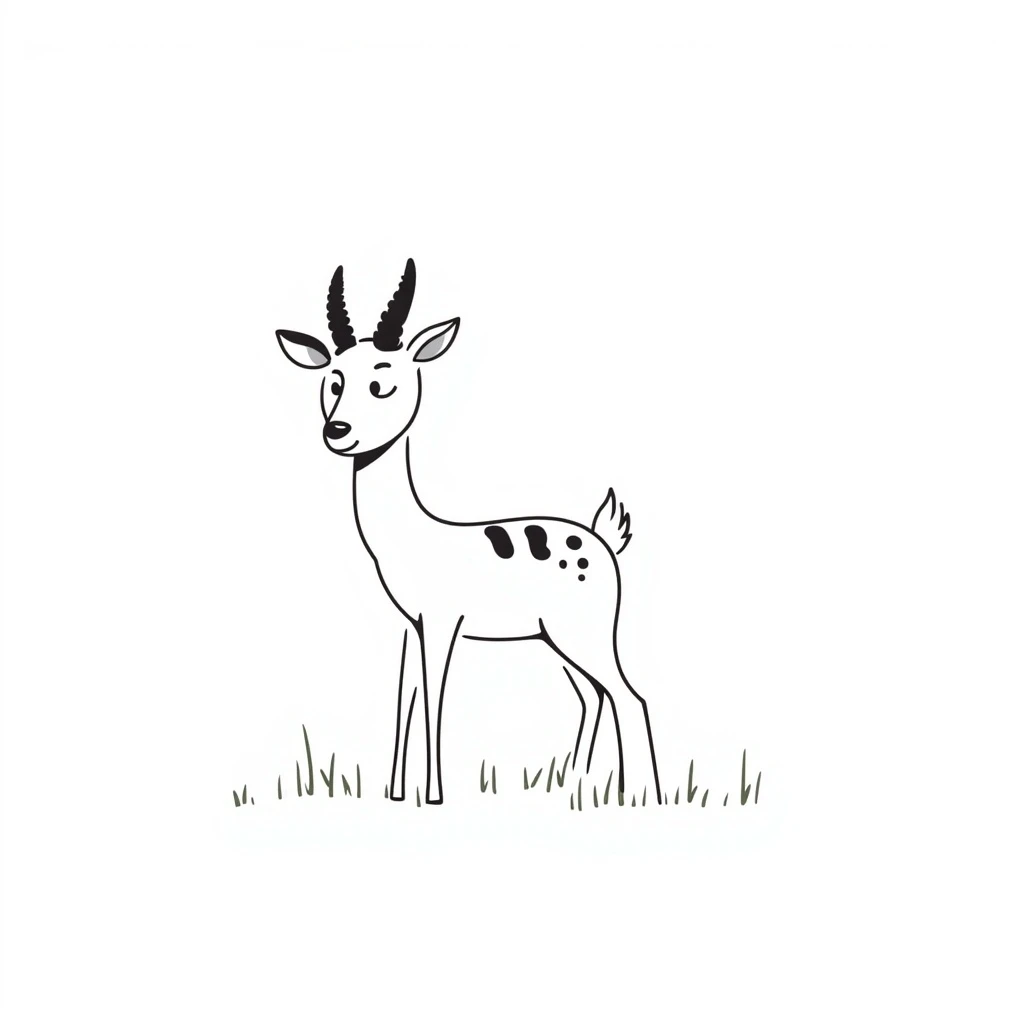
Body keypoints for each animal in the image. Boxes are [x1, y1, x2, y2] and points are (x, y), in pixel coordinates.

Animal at [276, 260, 661, 804]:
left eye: (383, 384)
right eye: (333, 381)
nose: (338, 431)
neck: (410, 535)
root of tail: (602, 538)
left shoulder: (441, 624)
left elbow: (434, 698)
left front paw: (434, 795)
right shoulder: (409, 628)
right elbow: (405, 698)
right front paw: (396, 792)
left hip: (587, 635)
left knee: (630, 696)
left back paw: (640, 795)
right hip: (557, 640)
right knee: (594, 695)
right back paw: (572, 780)